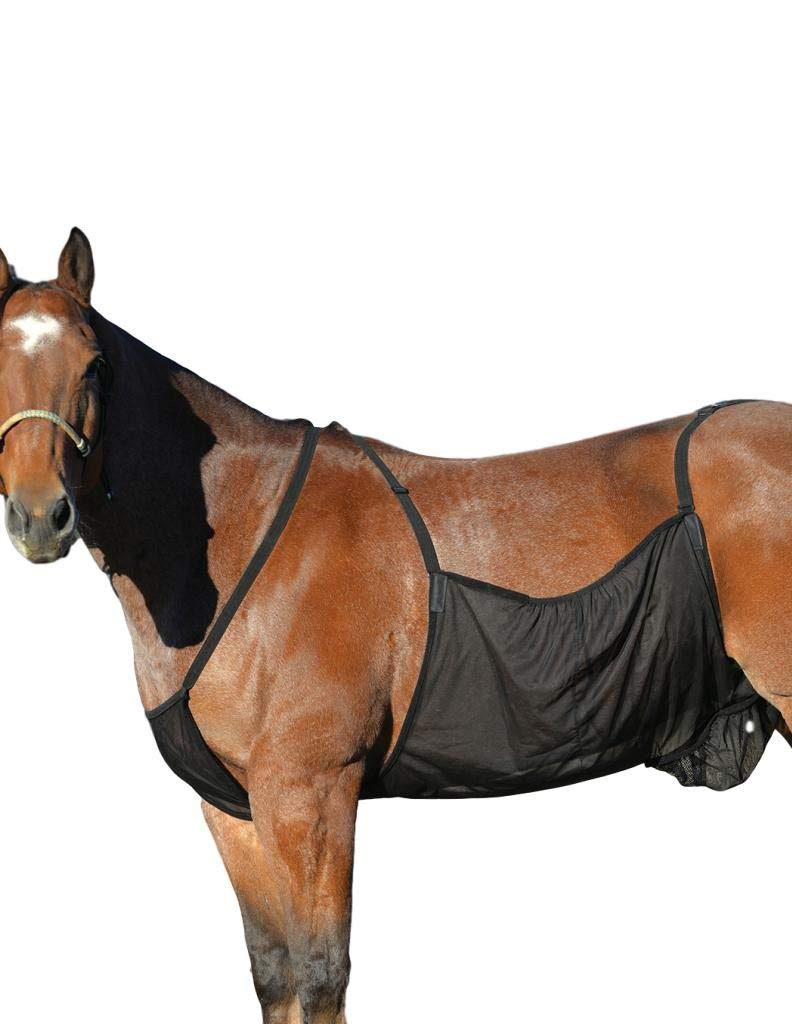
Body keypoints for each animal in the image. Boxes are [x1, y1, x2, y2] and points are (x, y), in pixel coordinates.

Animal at [0, 229, 789, 1023]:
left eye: (95, 365)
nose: (40, 516)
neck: (238, 537)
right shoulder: (233, 806)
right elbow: (274, 973)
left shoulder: (312, 790)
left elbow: (321, 974)